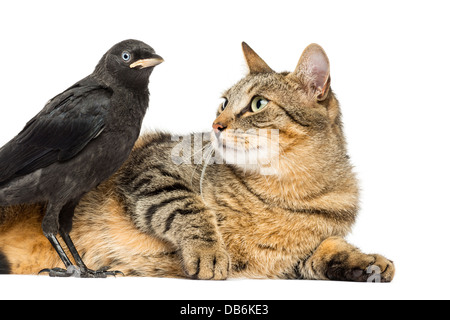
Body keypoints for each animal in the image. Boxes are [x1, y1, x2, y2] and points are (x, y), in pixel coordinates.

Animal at [0, 42, 394, 280]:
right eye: (224, 103)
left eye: (258, 104)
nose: (216, 125)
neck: (285, 191)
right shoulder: (151, 167)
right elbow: (186, 206)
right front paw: (209, 251)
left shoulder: (294, 257)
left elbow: (325, 249)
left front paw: (364, 262)